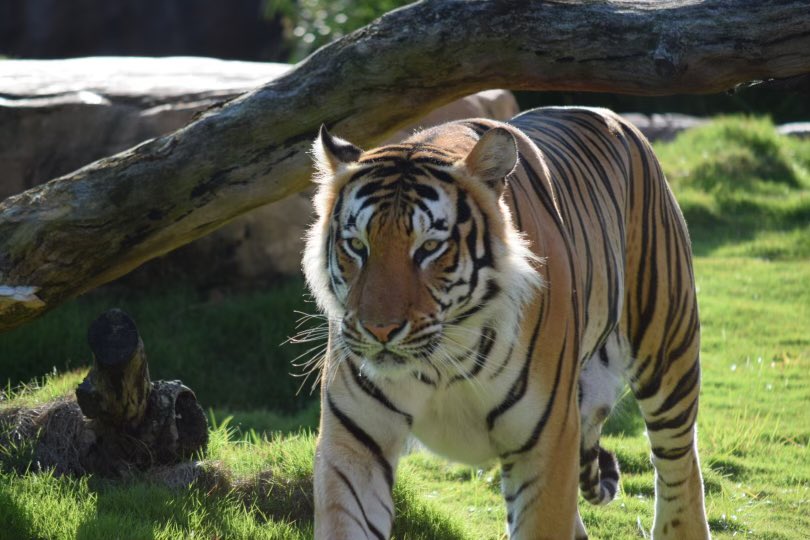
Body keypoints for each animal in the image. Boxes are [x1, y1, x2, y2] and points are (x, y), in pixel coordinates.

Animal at [302, 106, 711, 539]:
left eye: (429, 247)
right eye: (356, 246)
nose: (379, 331)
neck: (444, 362)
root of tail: (612, 116)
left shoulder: (547, 442)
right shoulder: (354, 443)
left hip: (668, 348)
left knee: (679, 466)